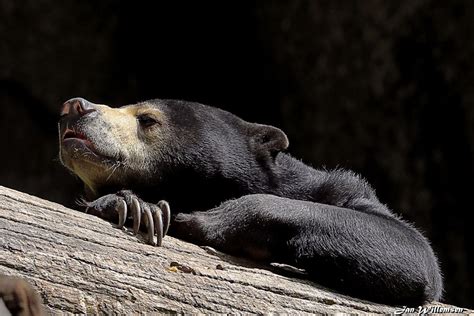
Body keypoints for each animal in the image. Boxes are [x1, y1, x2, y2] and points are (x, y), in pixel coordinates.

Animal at [58, 98, 440, 306]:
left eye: (147, 119)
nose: (74, 107)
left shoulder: (339, 190)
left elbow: (410, 248)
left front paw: (204, 220)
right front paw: (138, 208)